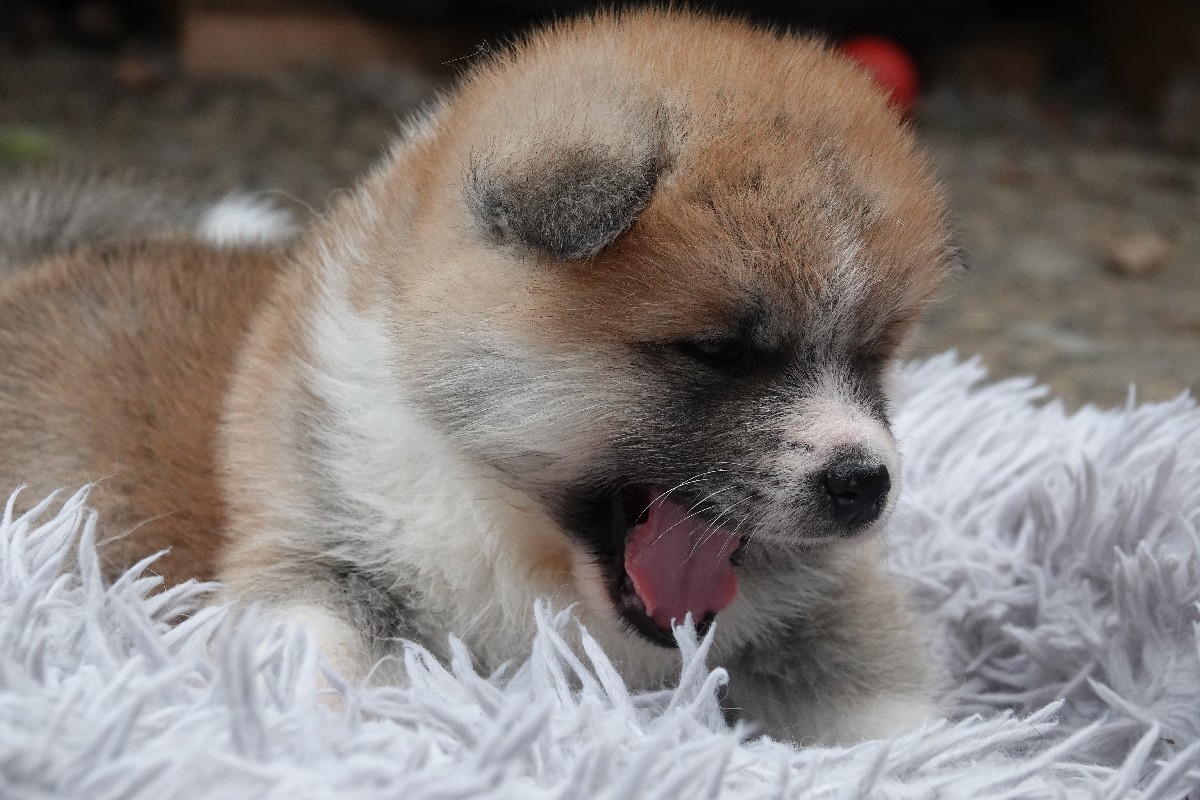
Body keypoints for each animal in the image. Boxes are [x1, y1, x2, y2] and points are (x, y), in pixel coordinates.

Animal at [0, 9, 953, 744]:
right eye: (716, 350)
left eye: (874, 355)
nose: (864, 484)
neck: (515, 531)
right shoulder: (319, 552)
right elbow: (305, 655)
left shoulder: (824, 613)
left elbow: (896, 720)